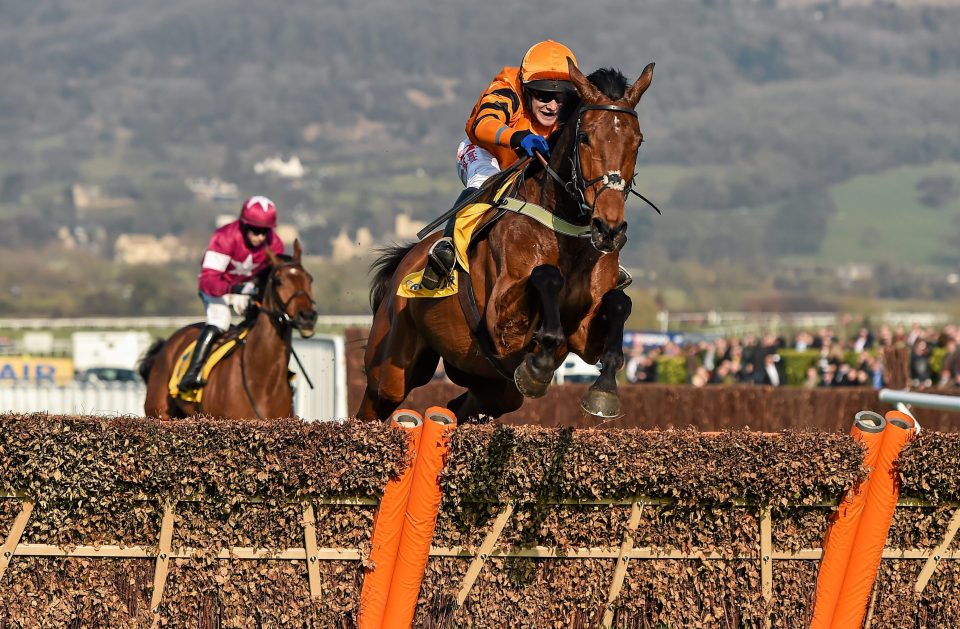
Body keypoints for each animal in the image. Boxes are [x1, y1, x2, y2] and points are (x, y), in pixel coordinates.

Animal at [356, 60, 656, 422]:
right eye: (585, 137)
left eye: (637, 141)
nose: (609, 228)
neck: (564, 231)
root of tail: (404, 264)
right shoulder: (502, 322)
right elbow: (546, 276)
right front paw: (540, 364)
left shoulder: (584, 334)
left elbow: (619, 303)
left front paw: (605, 388)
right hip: (391, 371)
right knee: (373, 405)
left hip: (493, 386)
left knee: (460, 406)